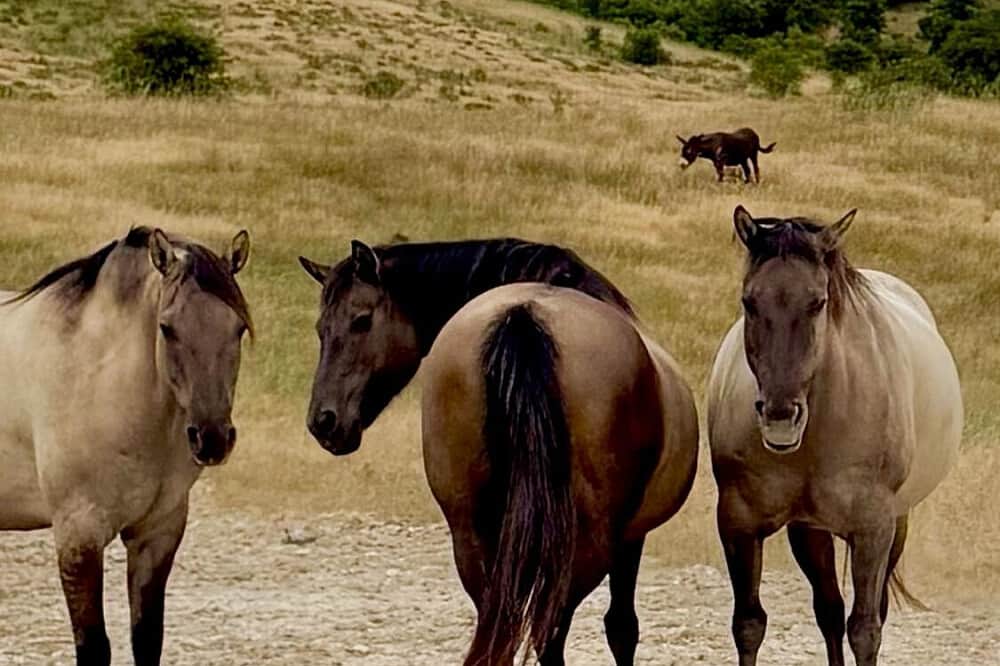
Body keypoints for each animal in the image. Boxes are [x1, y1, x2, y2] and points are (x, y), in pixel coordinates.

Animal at [0, 227, 252, 666]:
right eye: (167, 328)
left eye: (237, 328)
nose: (212, 437)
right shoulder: (78, 537)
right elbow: (93, 645)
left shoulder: (157, 534)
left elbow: (147, 638)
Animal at [299, 238, 699, 664]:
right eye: (322, 329)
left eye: (361, 320)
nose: (323, 420)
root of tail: (522, 315)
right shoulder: (629, 540)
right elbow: (622, 629)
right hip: (581, 548)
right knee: (548, 633)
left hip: (473, 538)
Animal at [707, 206, 962, 666]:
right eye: (749, 302)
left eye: (818, 303)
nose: (780, 418)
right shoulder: (739, 521)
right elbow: (749, 624)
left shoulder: (873, 530)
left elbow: (865, 629)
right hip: (809, 531)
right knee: (828, 609)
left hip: (896, 525)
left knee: (868, 612)